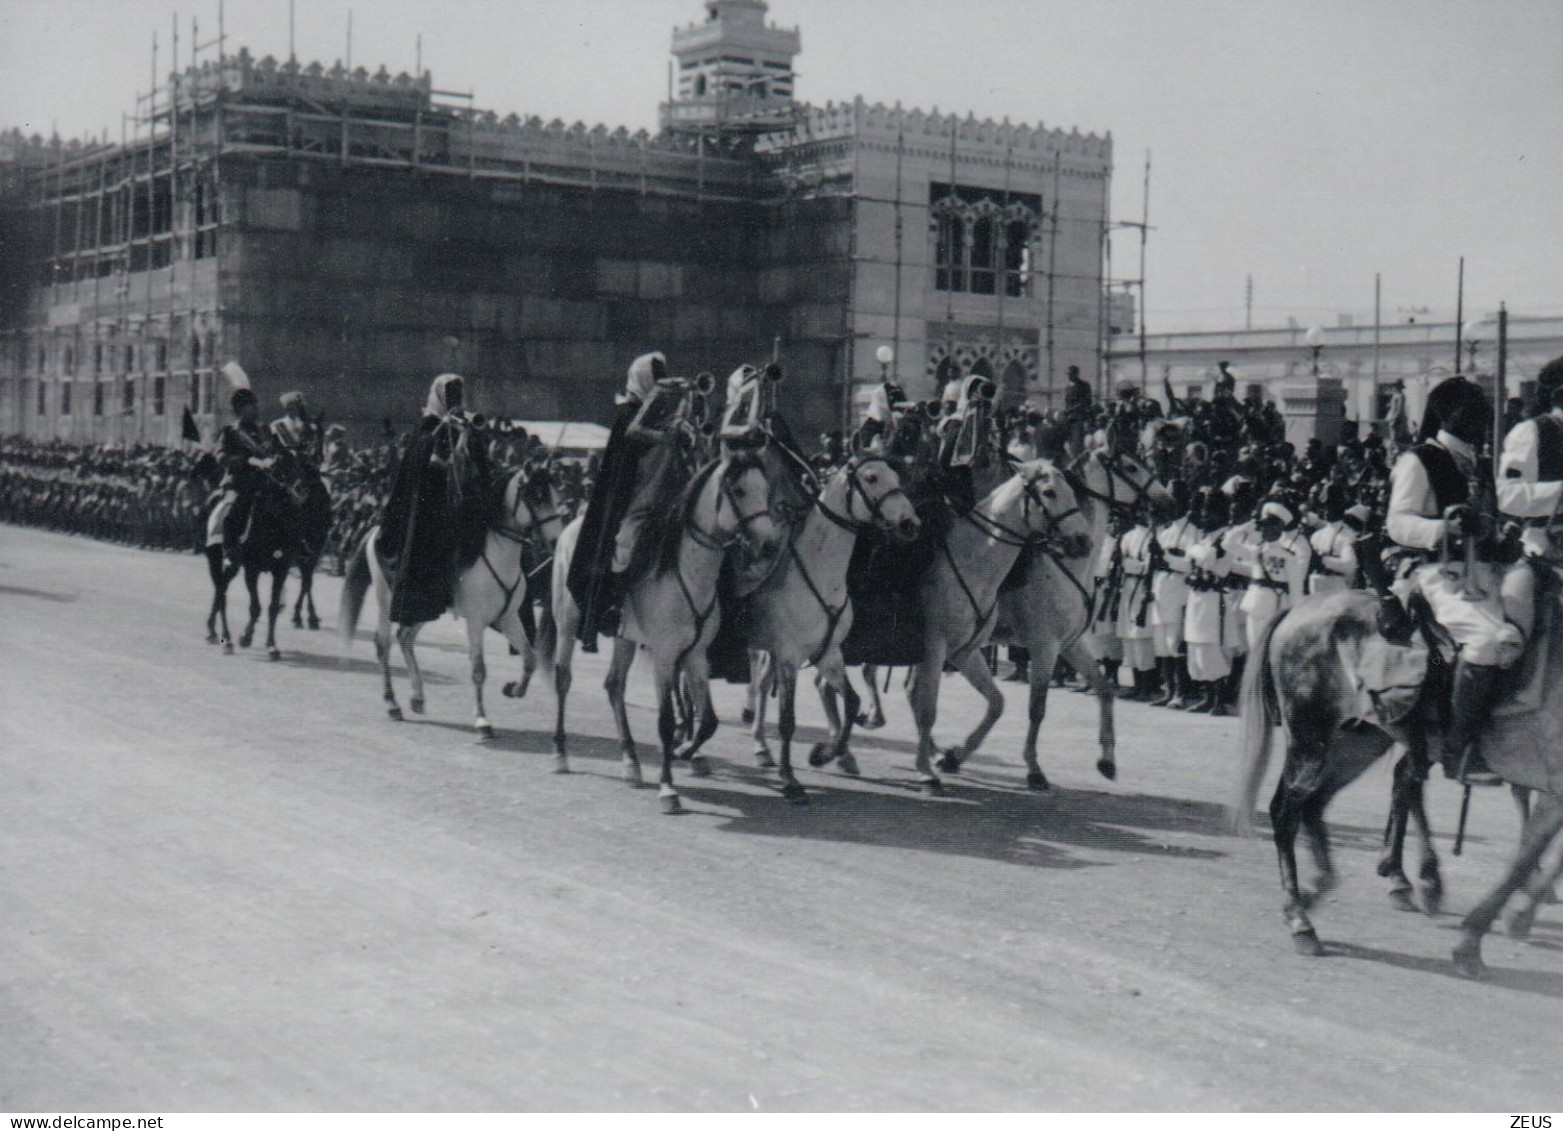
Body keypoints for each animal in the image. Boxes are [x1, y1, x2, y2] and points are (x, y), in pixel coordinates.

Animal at [339, 462, 572, 737]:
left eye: (555, 496)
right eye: (536, 497)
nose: (556, 542)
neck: (498, 554)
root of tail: (377, 530)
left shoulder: (508, 618)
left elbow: (530, 659)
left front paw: (514, 689)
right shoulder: (476, 621)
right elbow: (478, 669)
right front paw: (482, 720)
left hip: (425, 609)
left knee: (404, 638)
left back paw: (417, 698)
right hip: (386, 600)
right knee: (383, 644)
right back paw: (392, 703)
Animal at [543, 449, 781, 812]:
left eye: (765, 489)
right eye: (739, 491)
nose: (769, 545)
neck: (687, 570)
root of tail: (570, 526)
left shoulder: (696, 656)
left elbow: (708, 720)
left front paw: (686, 752)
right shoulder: (665, 656)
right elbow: (667, 721)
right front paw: (668, 788)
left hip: (625, 638)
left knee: (614, 686)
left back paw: (631, 763)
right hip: (568, 625)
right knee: (564, 680)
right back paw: (560, 754)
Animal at [740, 453, 912, 806]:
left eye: (897, 476)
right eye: (872, 478)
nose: (910, 523)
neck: (820, 572)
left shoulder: (828, 653)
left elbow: (853, 702)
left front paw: (824, 754)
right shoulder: (789, 657)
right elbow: (788, 720)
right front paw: (790, 780)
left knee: (761, 683)